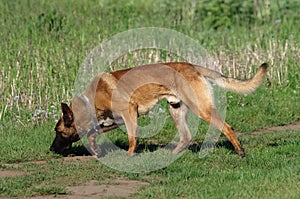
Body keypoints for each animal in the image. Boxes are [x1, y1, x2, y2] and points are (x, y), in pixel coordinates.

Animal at [50, 61, 268, 158]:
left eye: (58, 131)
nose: (51, 149)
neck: (90, 101)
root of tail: (193, 66)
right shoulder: (115, 120)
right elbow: (92, 134)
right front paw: (95, 150)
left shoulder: (130, 113)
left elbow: (132, 138)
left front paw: (129, 156)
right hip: (175, 109)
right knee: (186, 137)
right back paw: (171, 155)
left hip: (201, 109)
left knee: (227, 128)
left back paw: (240, 152)